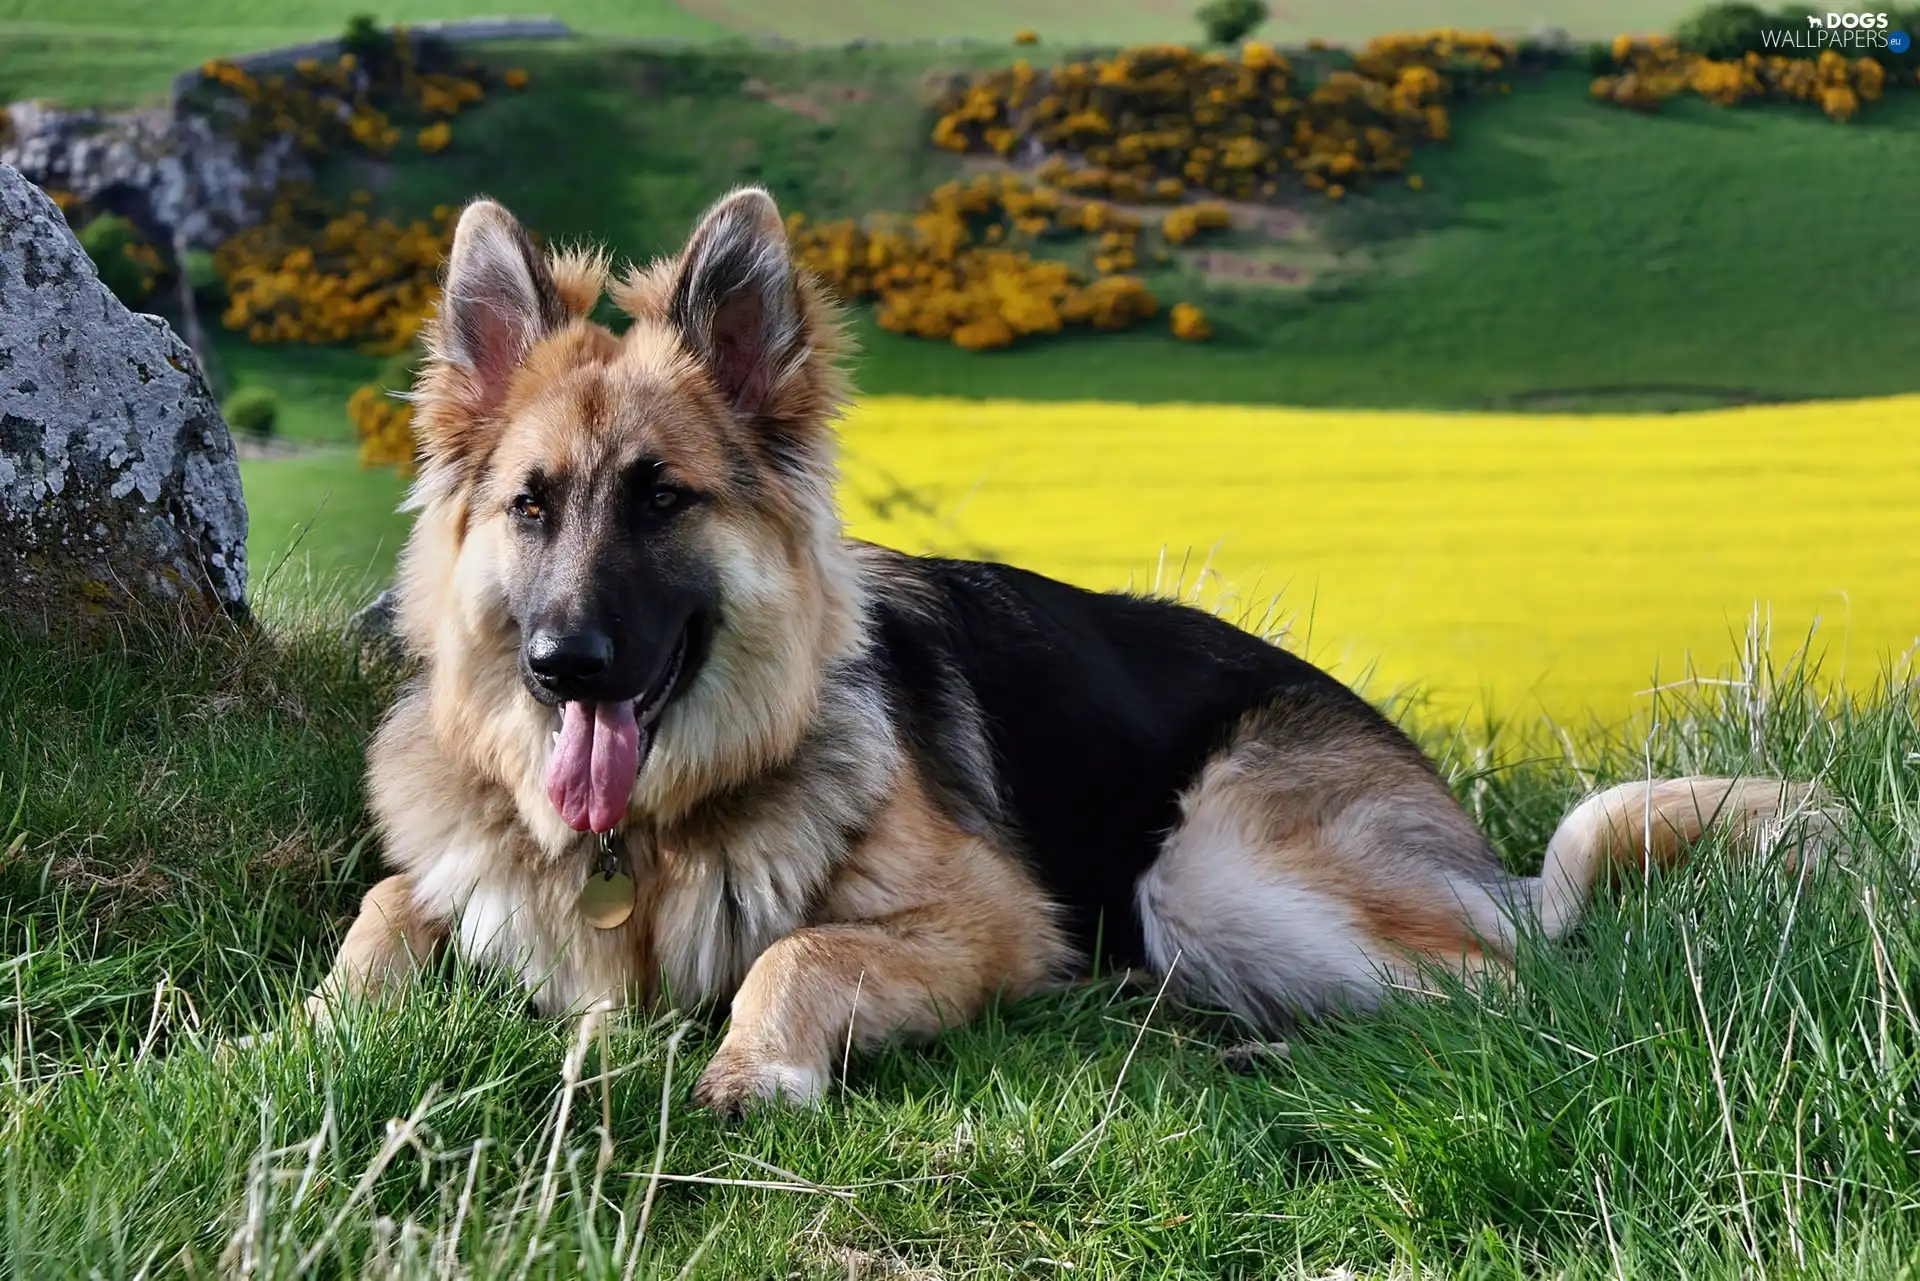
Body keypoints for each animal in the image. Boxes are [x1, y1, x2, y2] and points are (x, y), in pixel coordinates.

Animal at [318, 188, 1843, 1113]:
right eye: (532, 507)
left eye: (659, 499)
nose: (562, 665)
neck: (647, 839)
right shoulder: (454, 875)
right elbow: (390, 903)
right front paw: (322, 1024)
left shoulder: (991, 922)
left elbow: (792, 952)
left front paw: (757, 1066)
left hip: (1207, 868)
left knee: (1507, 994)